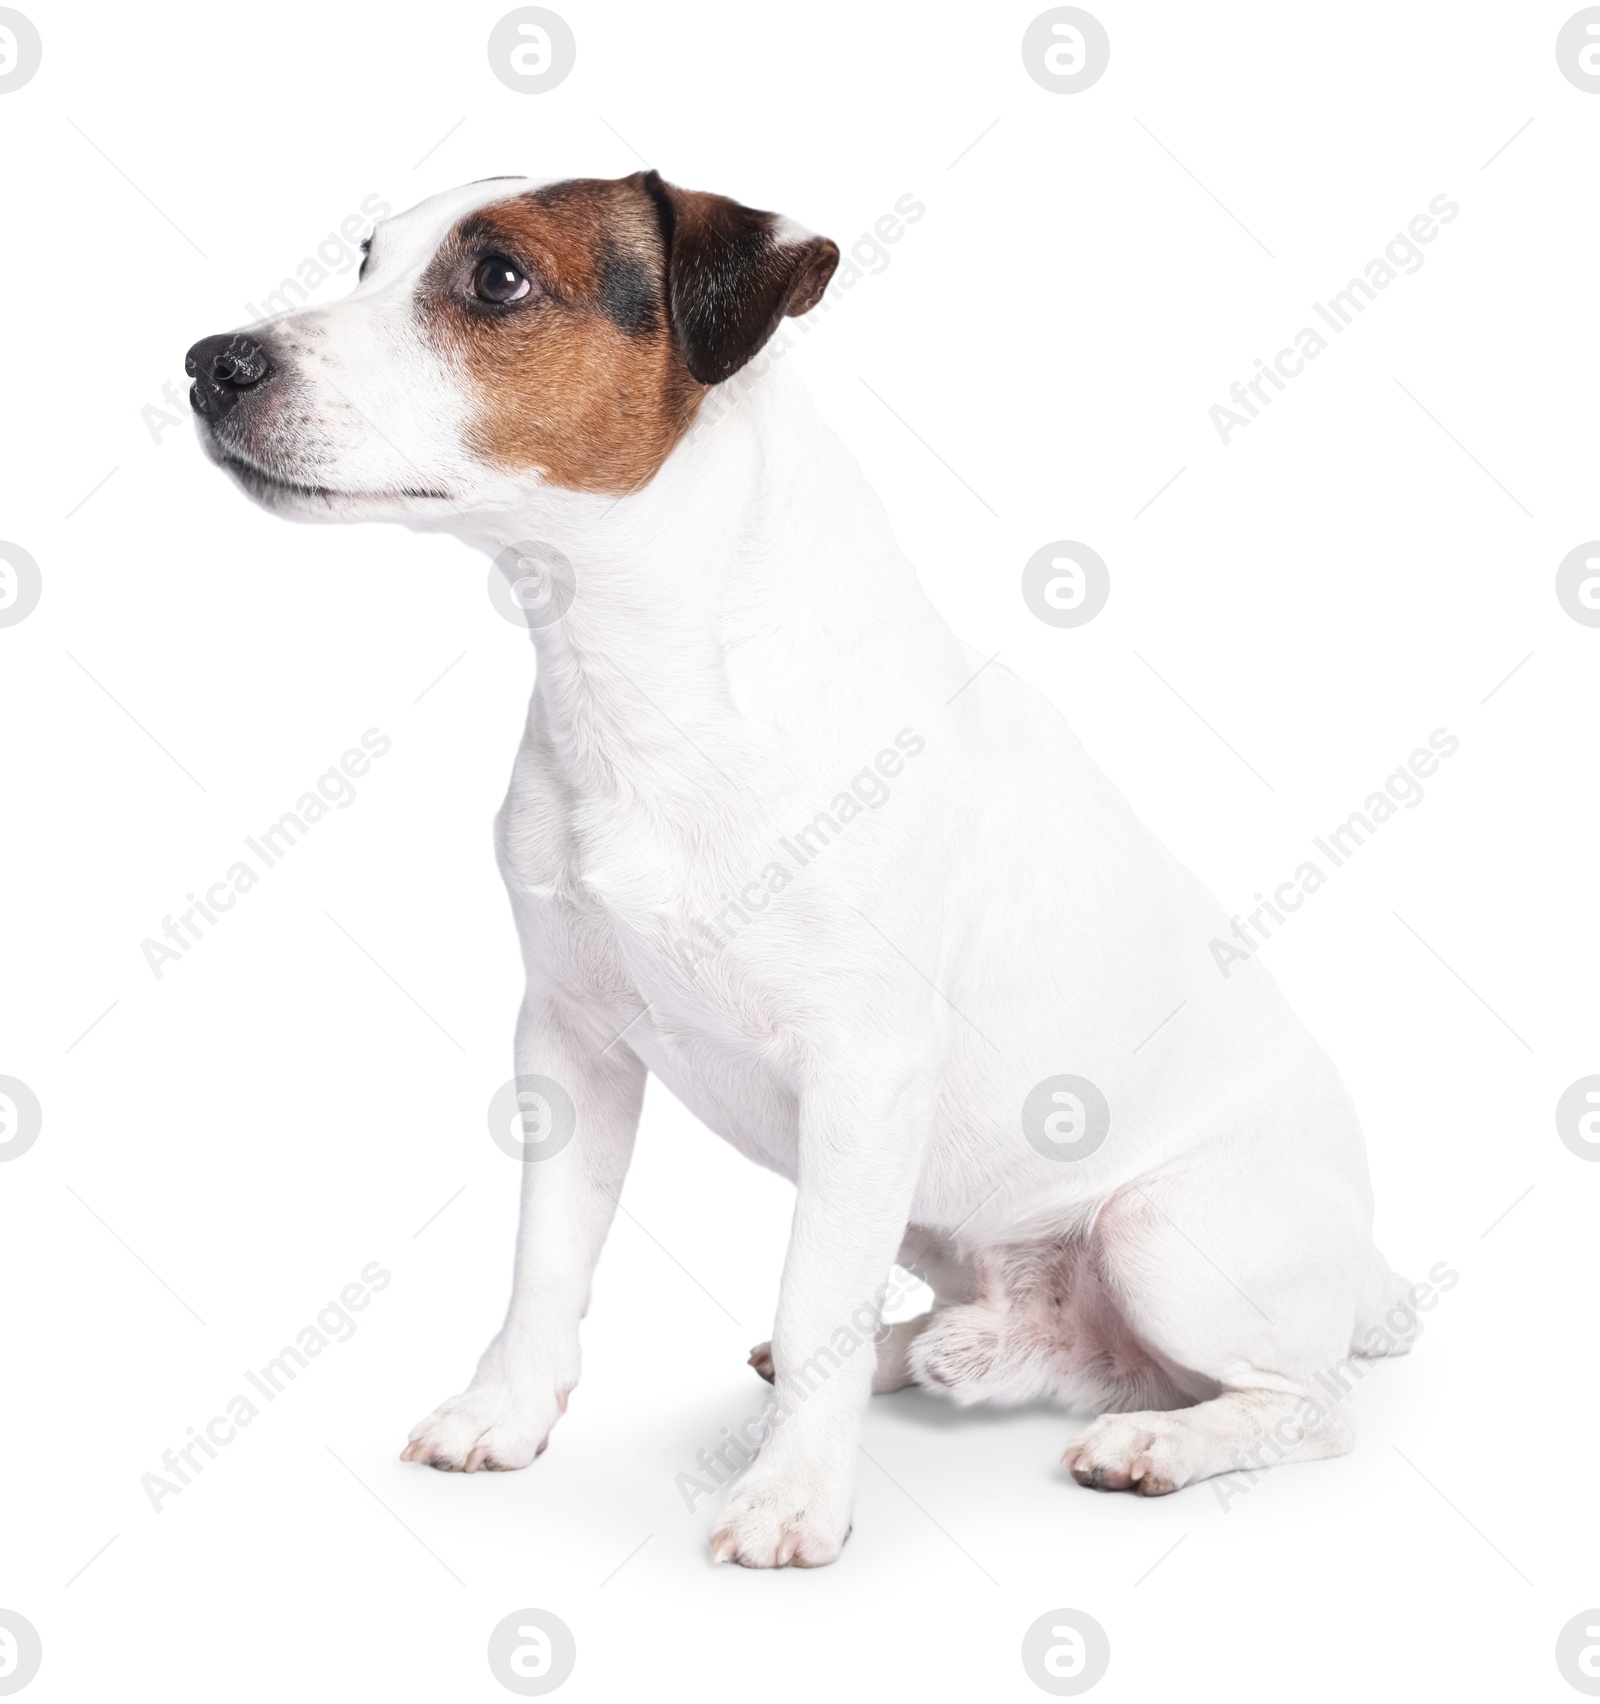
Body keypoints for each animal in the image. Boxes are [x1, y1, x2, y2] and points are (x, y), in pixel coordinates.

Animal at [190, 172, 1410, 1567]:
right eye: (366, 258)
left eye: (498, 277)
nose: (210, 363)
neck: (650, 683)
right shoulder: (567, 1042)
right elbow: (549, 1258)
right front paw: (506, 1410)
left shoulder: (863, 1078)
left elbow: (815, 1282)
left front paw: (791, 1497)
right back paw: (941, 1347)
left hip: (1165, 1231)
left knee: (1305, 1404)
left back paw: (1159, 1441)